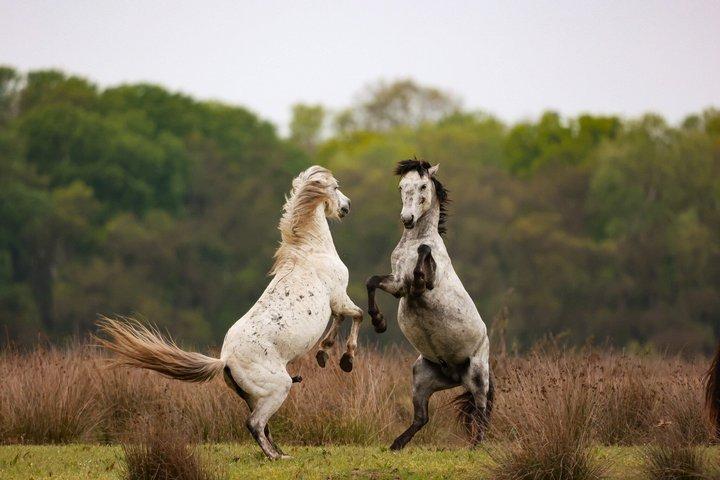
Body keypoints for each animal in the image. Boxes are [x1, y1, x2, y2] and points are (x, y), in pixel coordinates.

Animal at [97, 165, 364, 460]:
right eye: (336, 187)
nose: (347, 206)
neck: (310, 250)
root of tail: (225, 360)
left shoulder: (336, 303)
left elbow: (341, 319)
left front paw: (324, 353)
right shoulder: (339, 297)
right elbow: (358, 315)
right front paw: (346, 359)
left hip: (255, 396)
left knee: (263, 425)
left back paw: (280, 453)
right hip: (278, 388)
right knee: (255, 424)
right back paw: (275, 457)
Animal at [365, 159, 493, 450]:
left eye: (423, 186)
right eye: (402, 186)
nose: (407, 219)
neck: (412, 242)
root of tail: (455, 375)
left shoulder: (419, 285)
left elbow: (424, 257)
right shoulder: (398, 285)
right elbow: (372, 281)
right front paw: (379, 322)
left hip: (478, 374)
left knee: (480, 412)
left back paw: (476, 446)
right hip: (421, 377)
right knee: (422, 418)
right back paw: (396, 444)